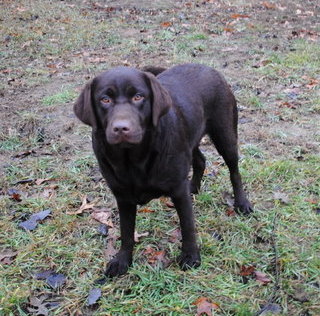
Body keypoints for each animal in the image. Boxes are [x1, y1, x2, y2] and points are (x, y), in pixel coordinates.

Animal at [73, 63, 252, 278]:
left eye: (138, 97)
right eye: (104, 99)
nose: (121, 128)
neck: (133, 159)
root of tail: (207, 67)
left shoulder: (178, 191)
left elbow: (187, 226)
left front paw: (191, 256)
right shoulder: (123, 197)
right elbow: (126, 232)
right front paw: (123, 260)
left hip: (225, 135)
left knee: (234, 171)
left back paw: (242, 203)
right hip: (191, 139)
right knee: (200, 160)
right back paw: (193, 187)